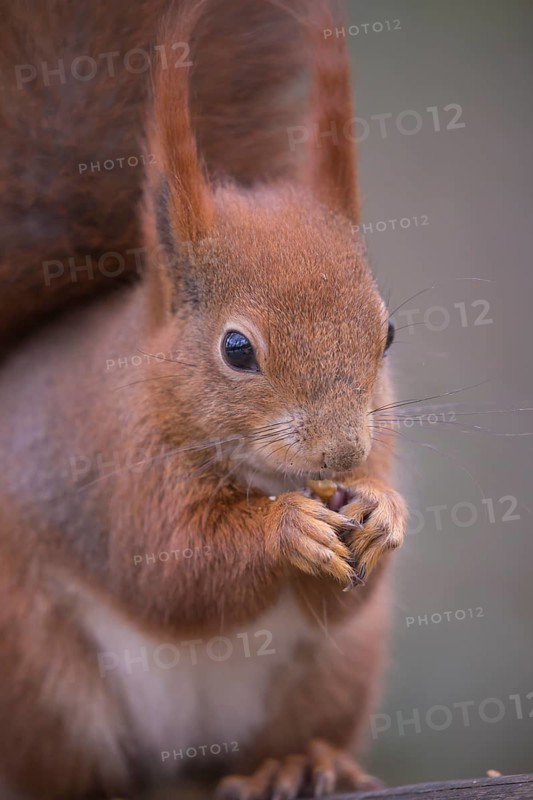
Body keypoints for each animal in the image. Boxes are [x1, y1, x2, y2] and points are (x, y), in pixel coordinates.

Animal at [0, 1, 408, 799]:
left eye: (387, 333)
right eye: (237, 349)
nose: (343, 451)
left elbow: (346, 593)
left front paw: (384, 512)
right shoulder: (116, 464)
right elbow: (172, 571)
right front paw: (287, 530)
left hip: (333, 672)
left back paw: (297, 763)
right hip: (34, 667)